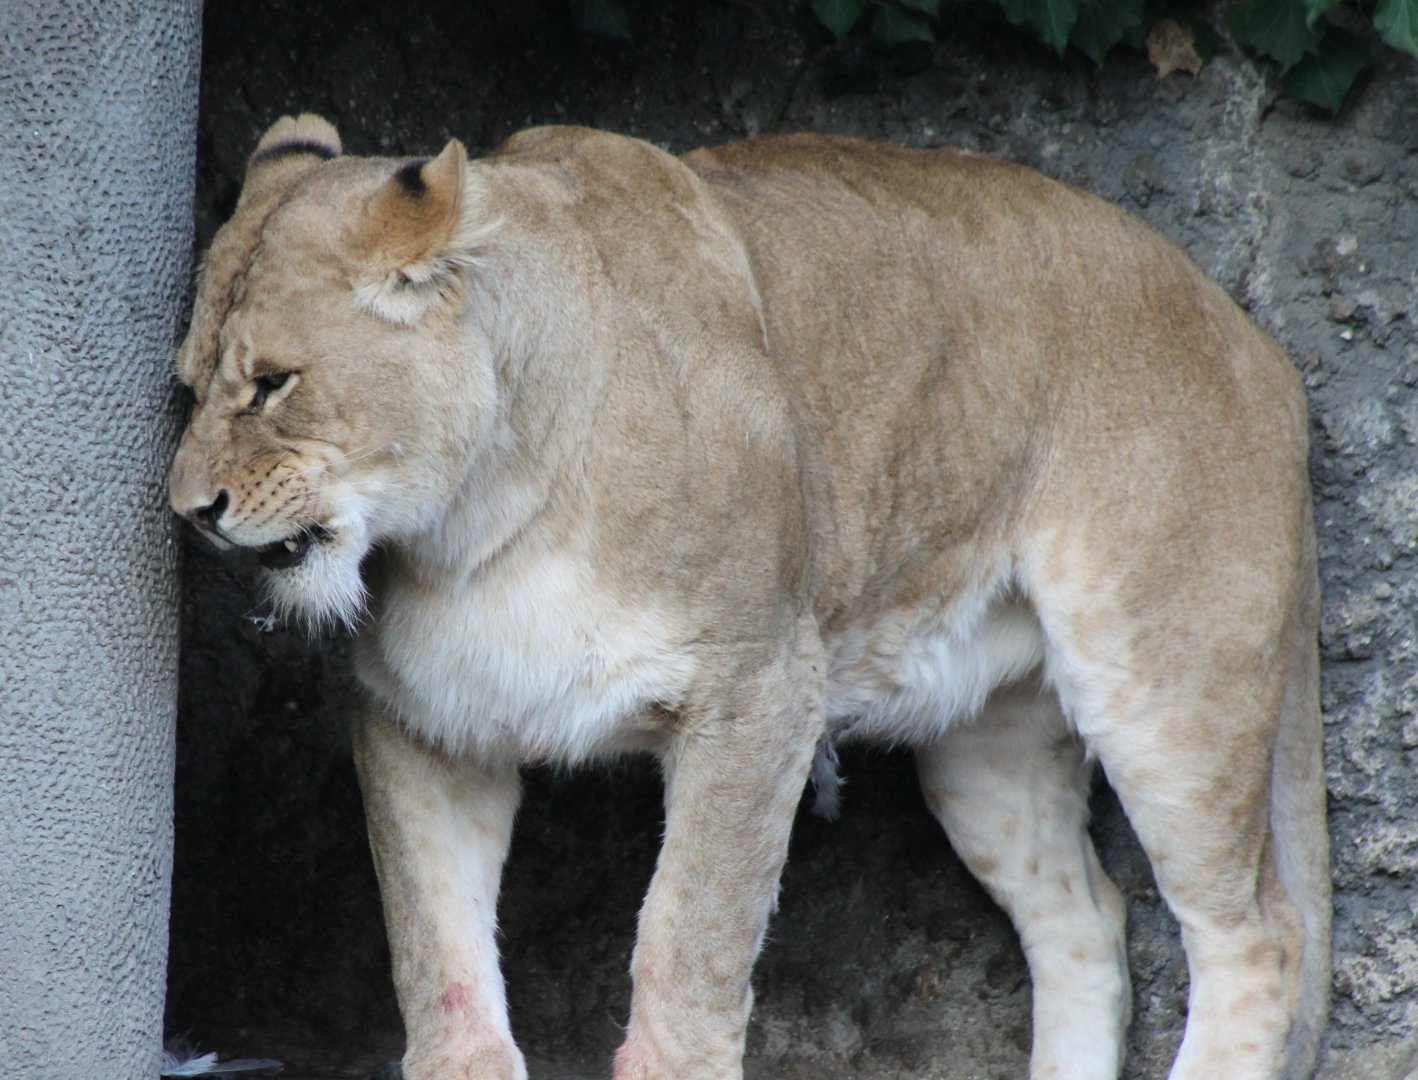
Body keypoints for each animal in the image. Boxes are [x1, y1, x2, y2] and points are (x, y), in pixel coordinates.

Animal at [170, 113, 1331, 1080]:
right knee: (1084, 920)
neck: (478, 519)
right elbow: (438, 966)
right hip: (989, 748)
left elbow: (687, 951)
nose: (191, 511)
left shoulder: (759, 694)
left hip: (1167, 685)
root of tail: (1253, 337)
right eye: (184, 387)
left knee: (1256, 936)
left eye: (272, 383)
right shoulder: (423, 720)